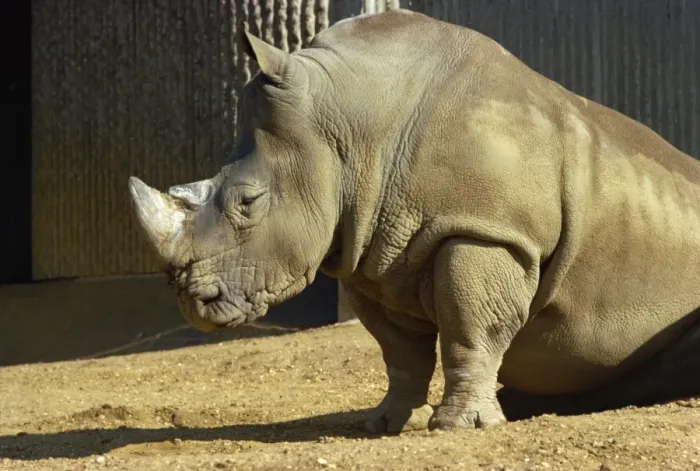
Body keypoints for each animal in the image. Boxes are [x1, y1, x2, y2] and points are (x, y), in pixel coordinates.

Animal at [128, 10, 700, 433]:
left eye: (248, 202)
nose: (193, 305)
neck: (354, 125)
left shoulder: (486, 230)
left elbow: (472, 327)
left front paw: (462, 426)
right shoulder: (369, 249)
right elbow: (398, 349)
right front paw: (384, 424)